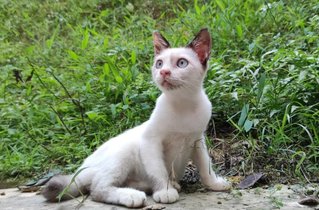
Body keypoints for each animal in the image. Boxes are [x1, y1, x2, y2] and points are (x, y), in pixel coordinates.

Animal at [43, 28, 232, 208]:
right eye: (159, 63)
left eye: (182, 63)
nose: (164, 72)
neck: (183, 104)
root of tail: (82, 168)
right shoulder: (150, 141)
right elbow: (159, 170)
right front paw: (164, 191)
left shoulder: (197, 140)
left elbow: (206, 168)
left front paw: (215, 184)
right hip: (125, 151)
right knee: (97, 189)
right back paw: (133, 196)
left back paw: (161, 185)